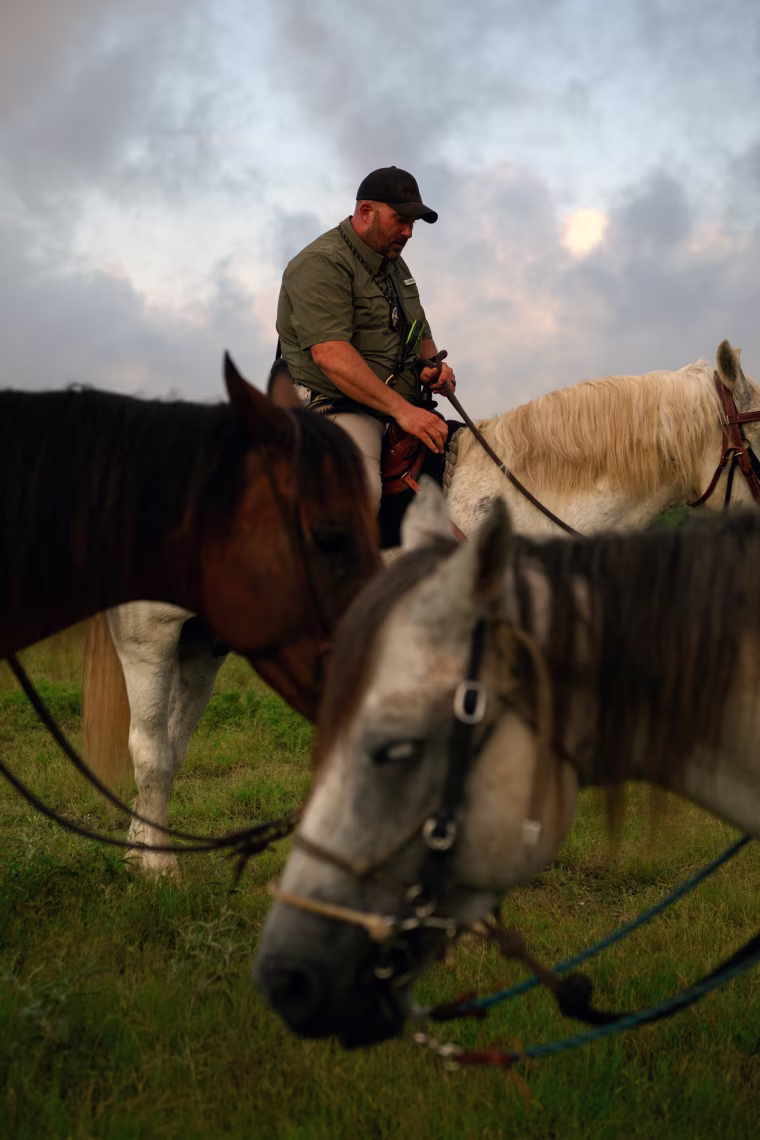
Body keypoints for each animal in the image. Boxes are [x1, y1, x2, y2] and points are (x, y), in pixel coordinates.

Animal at [1, 357, 381, 866]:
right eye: (330, 537)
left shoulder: (202, 646)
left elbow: (174, 749)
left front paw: (139, 849)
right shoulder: (148, 642)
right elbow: (150, 753)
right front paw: (159, 866)